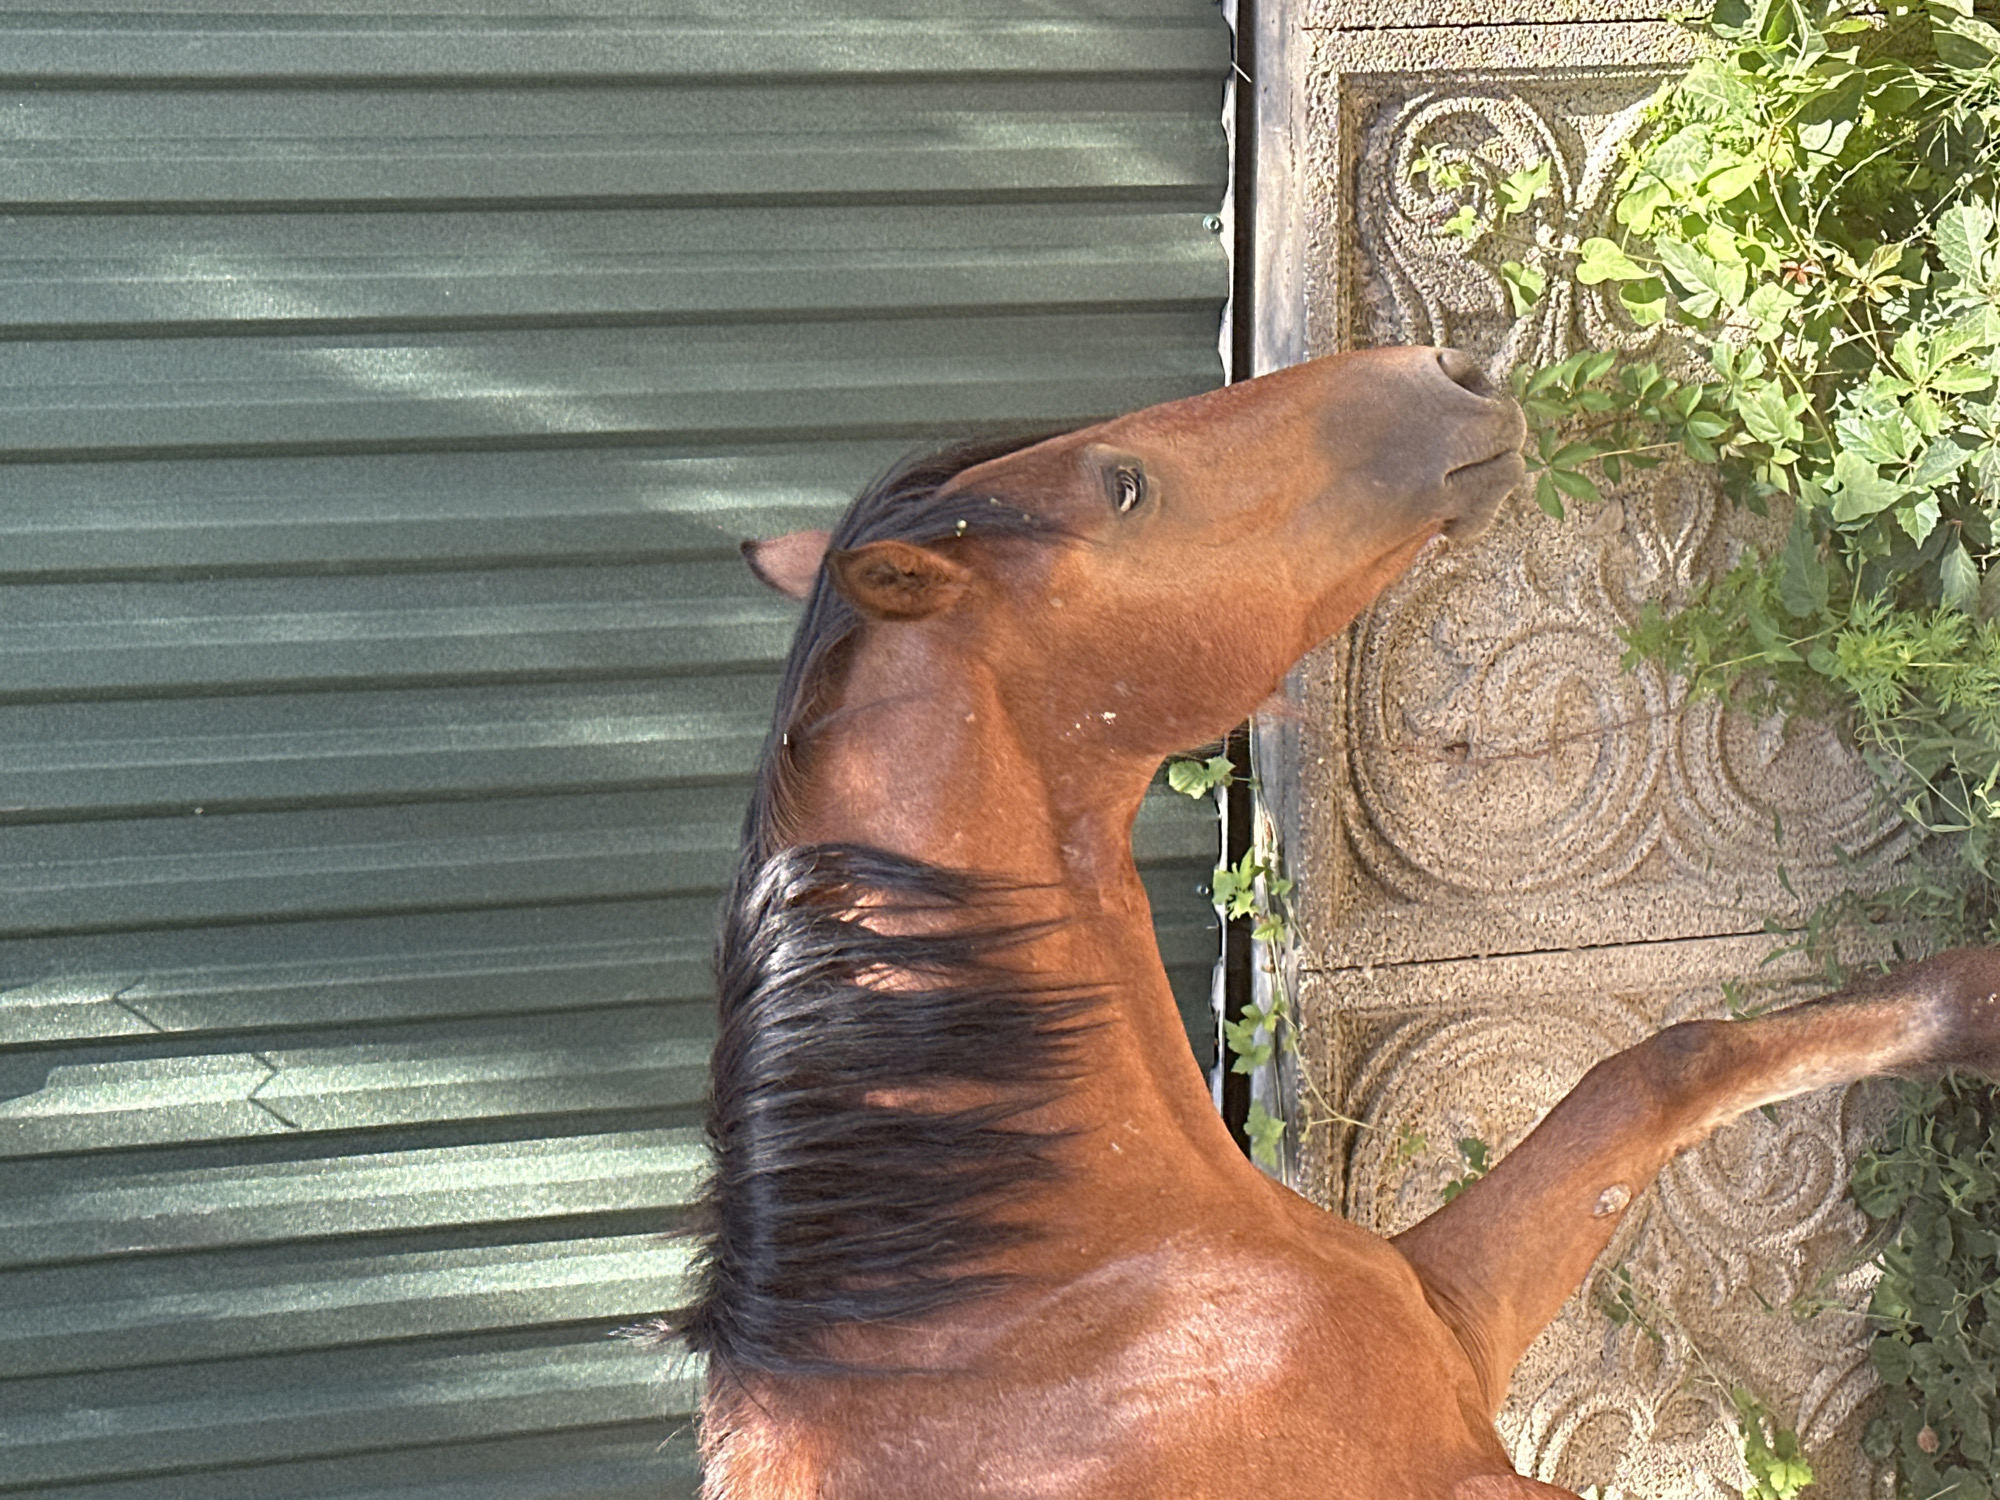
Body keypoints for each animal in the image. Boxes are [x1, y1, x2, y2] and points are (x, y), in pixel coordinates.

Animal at [667, 345, 2000, 1498]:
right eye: (1122, 486)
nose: (1444, 370)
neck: (1064, 1313)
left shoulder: (1448, 1315)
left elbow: (1663, 1068)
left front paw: (1977, 1001)